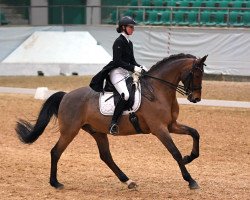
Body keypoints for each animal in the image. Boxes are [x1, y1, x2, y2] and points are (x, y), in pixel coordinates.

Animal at [15, 53, 207, 191]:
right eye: (195, 73)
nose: (196, 98)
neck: (158, 91)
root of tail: (66, 95)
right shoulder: (159, 129)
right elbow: (175, 152)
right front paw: (191, 180)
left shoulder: (171, 125)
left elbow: (195, 133)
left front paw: (190, 157)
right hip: (70, 131)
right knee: (55, 152)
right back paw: (55, 183)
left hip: (97, 131)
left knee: (105, 156)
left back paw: (128, 181)